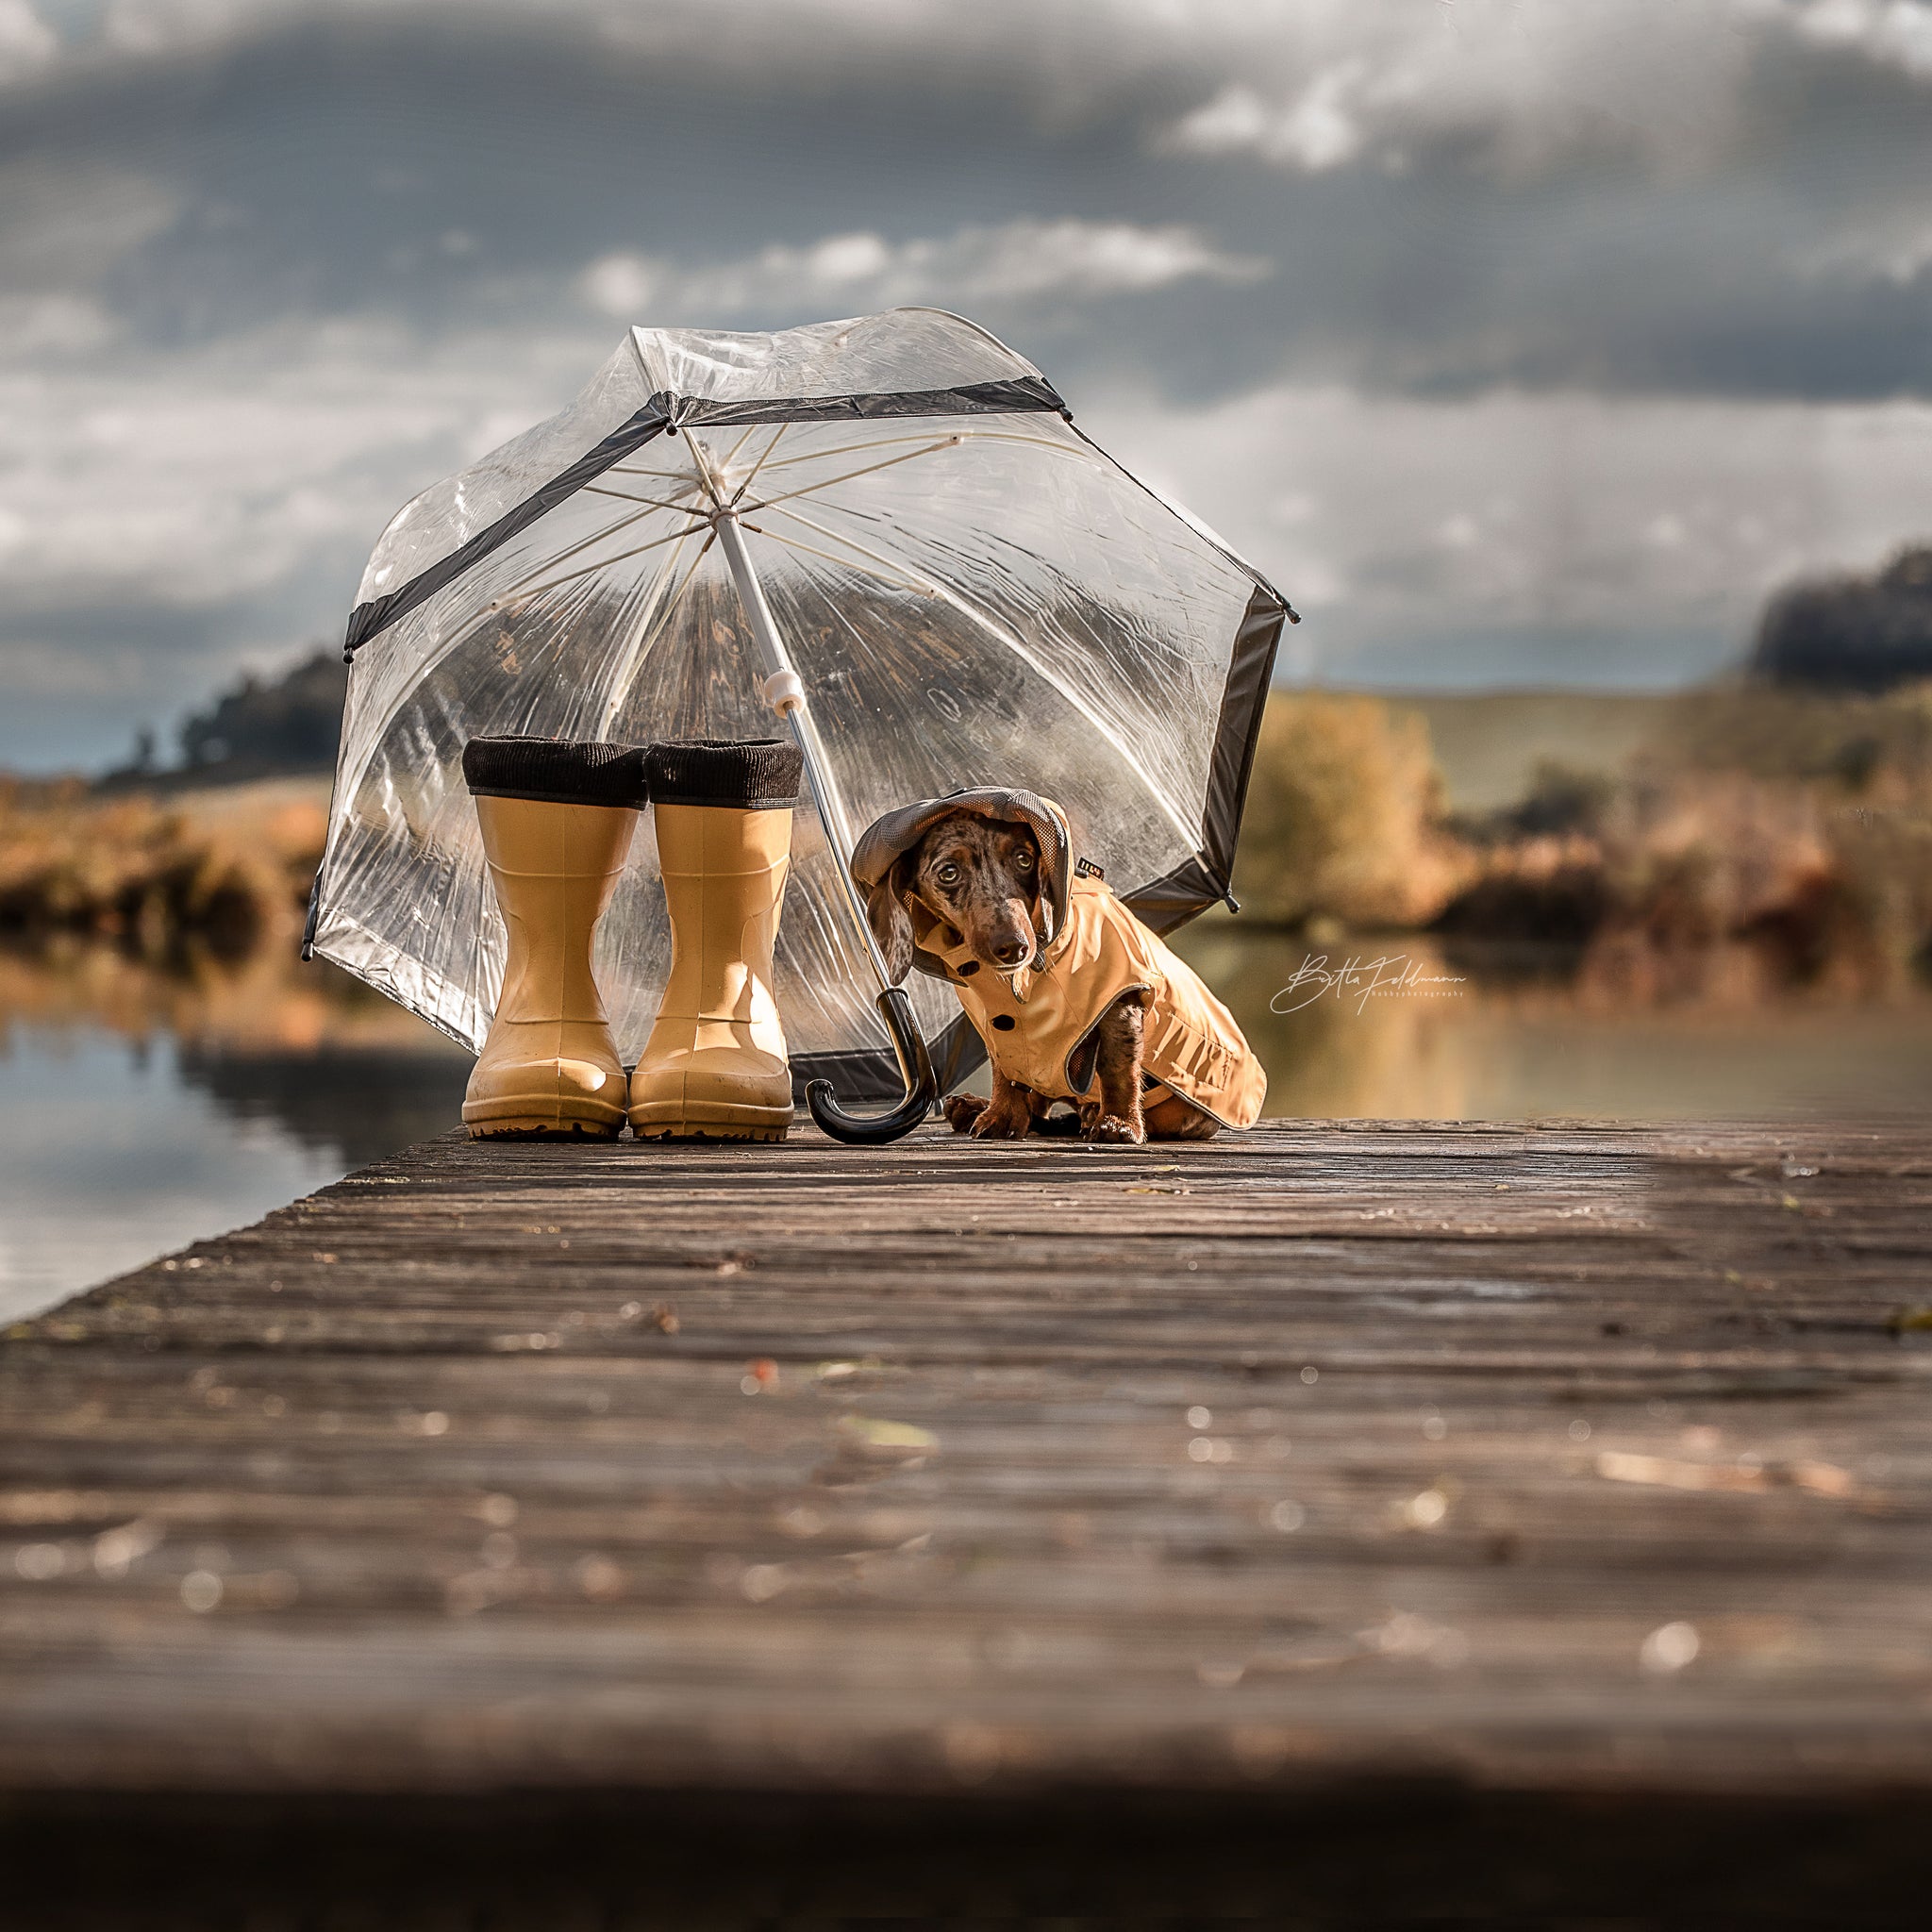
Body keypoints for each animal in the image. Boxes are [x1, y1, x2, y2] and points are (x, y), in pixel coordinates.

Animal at [869, 808, 1213, 1136]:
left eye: (1024, 859)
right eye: (949, 872)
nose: (1014, 946)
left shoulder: (1120, 1004)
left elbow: (1118, 1070)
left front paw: (1119, 1123)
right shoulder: (995, 1024)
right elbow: (1005, 1071)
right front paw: (1001, 1115)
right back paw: (974, 1108)